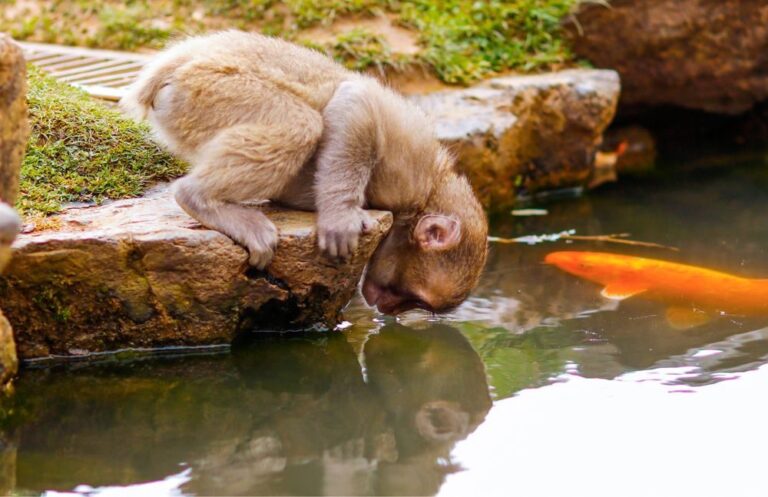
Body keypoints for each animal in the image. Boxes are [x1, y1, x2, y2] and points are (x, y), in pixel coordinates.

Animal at [120, 30, 488, 315]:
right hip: (209, 89)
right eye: (414, 299)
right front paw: (340, 216)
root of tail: (175, 62)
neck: (428, 195)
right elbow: (353, 104)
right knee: (300, 126)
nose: (386, 310)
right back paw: (200, 199)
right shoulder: (406, 173)